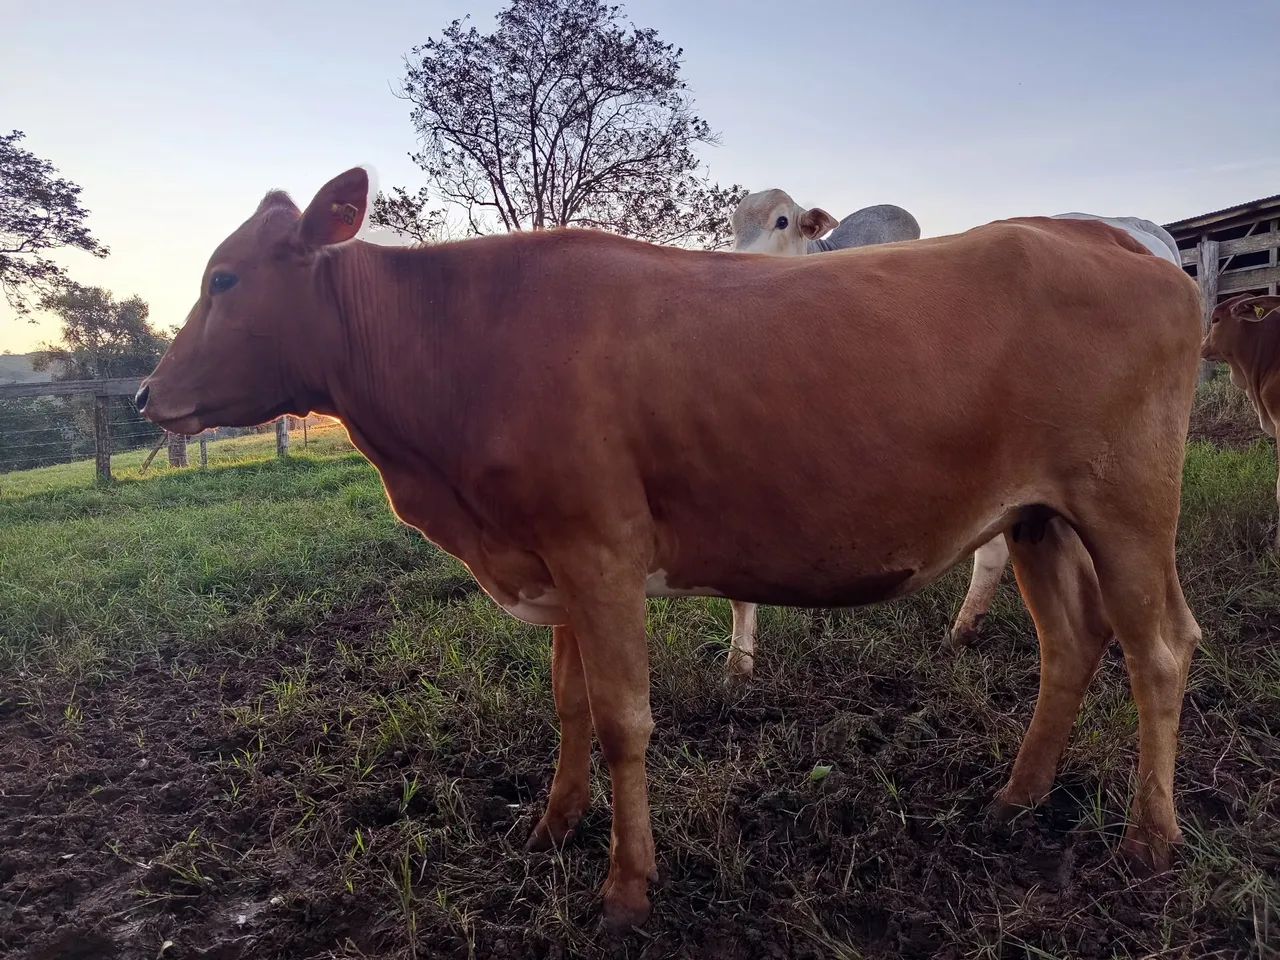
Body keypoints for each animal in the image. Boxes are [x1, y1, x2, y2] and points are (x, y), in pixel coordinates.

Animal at [137, 168, 1204, 930]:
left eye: (224, 277)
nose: (149, 394)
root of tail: (1105, 233)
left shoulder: (599, 552)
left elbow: (622, 721)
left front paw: (626, 888)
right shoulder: (556, 563)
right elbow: (568, 704)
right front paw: (552, 826)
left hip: (1128, 503)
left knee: (1159, 649)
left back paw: (1148, 841)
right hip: (1038, 518)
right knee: (1070, 645)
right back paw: (1016, 798)